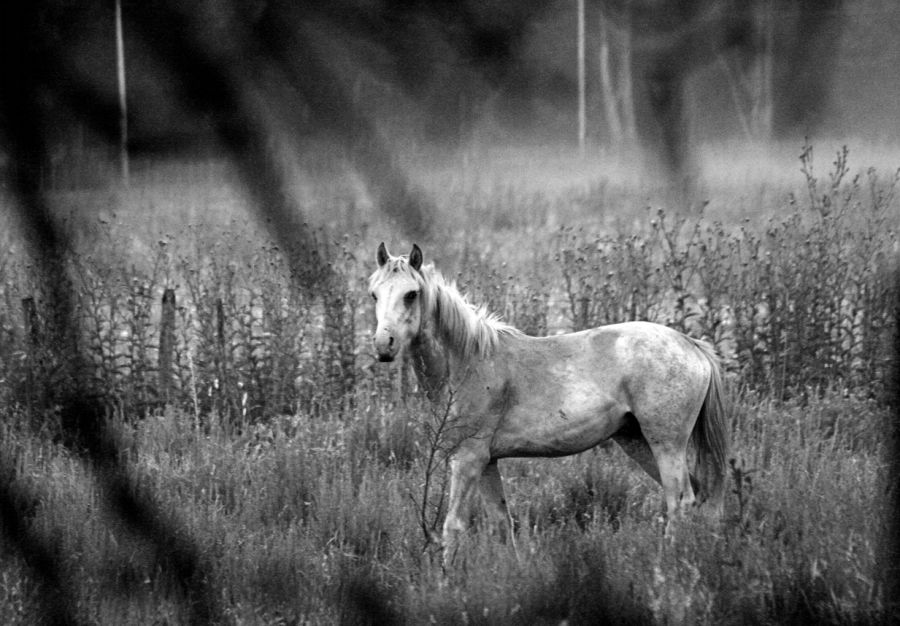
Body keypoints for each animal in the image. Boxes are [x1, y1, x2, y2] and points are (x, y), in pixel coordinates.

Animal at [370, 240, 728, 560]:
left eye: (411, 294)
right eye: (374, 293)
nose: (383, 345)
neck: (468, 361)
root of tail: (692, 345)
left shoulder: (467, 458)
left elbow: (452, 526)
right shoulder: (487, 462)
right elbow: (502, 522)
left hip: (666, 443)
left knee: (680, 501)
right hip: (636, 441)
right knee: (693, 496)